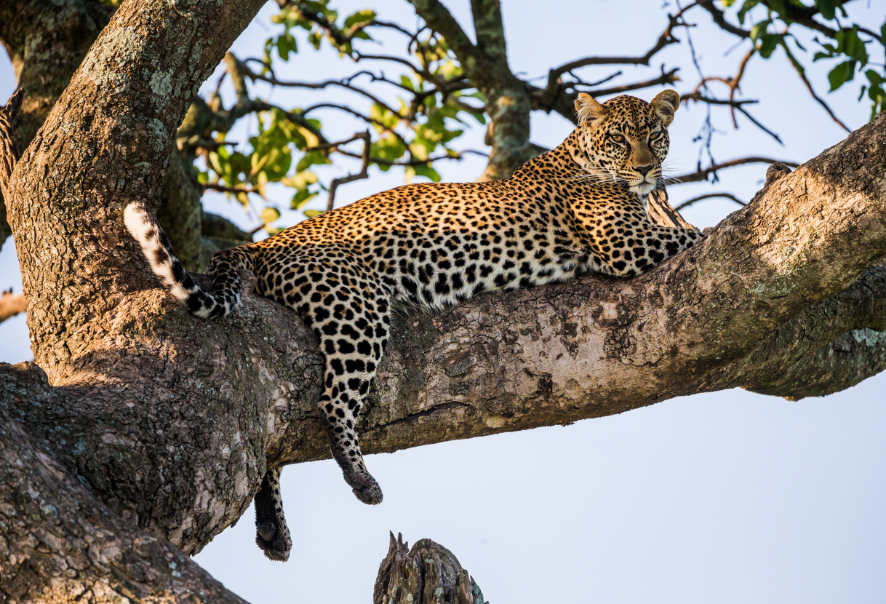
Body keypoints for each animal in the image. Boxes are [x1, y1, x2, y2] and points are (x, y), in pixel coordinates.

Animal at [124, 90, 703, 561]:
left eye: (653, 135)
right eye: (619, 139)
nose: (647, 170)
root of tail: (261, 244)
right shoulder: (627, 245)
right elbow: (699, 233)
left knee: (275, 442)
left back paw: (273, 531)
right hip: (356, 308)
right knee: (331, 403)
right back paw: (361, 481)